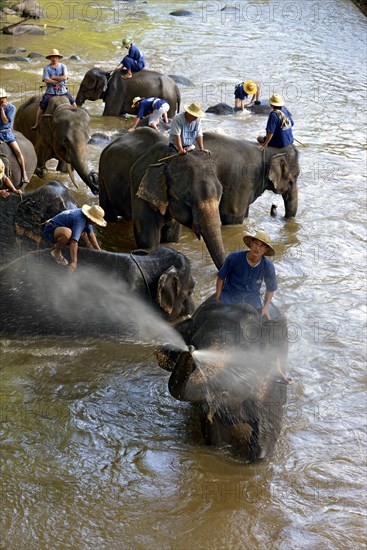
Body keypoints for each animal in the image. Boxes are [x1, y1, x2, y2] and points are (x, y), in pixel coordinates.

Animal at [98, 127, 226, 270]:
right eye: (188, 198)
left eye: (220, 195)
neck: (169, 158)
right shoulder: (139, 185)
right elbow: (147, 240)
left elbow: (171, 237)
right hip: (102, 175)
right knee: (107, 212)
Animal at [157, 300, 292, 464]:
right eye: (195, 342)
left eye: (243, 351)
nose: (189, 349)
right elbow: (215, 438)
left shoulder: (268, 387)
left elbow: (264, 442)